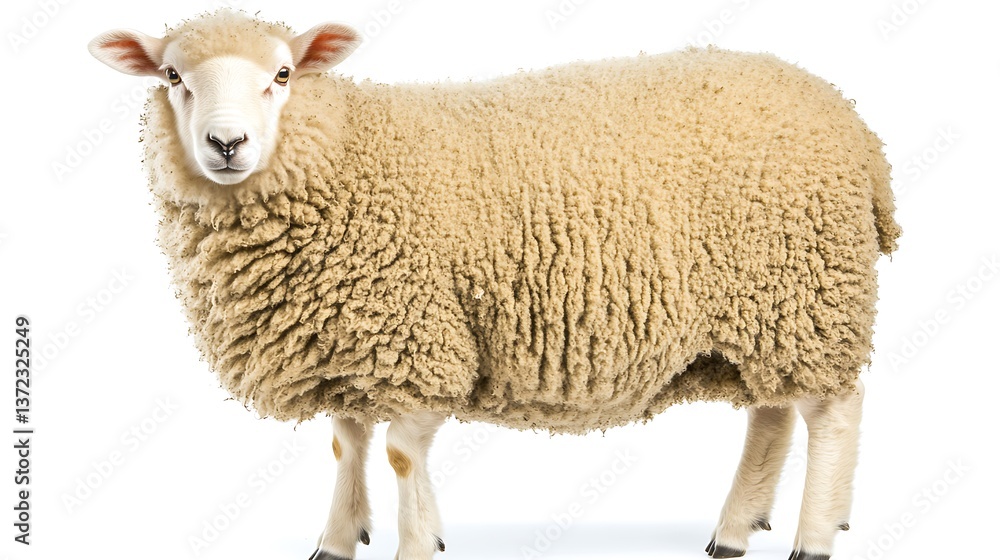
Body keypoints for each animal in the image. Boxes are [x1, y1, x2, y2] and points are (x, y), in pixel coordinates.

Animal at [88, 9, 899, 560]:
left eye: (282, 75)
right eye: (172, 77)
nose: (227, 143)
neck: (342, 152)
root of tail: (853, 127)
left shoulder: (419, 336)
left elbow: (399, 452)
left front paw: (419, 542)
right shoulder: (346, 337)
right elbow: (347, 443)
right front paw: (337, 540)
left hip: (807, 287)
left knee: (834, 411)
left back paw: (813, 537)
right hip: (766, 307)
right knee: (773, 414)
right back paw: (733, 530)